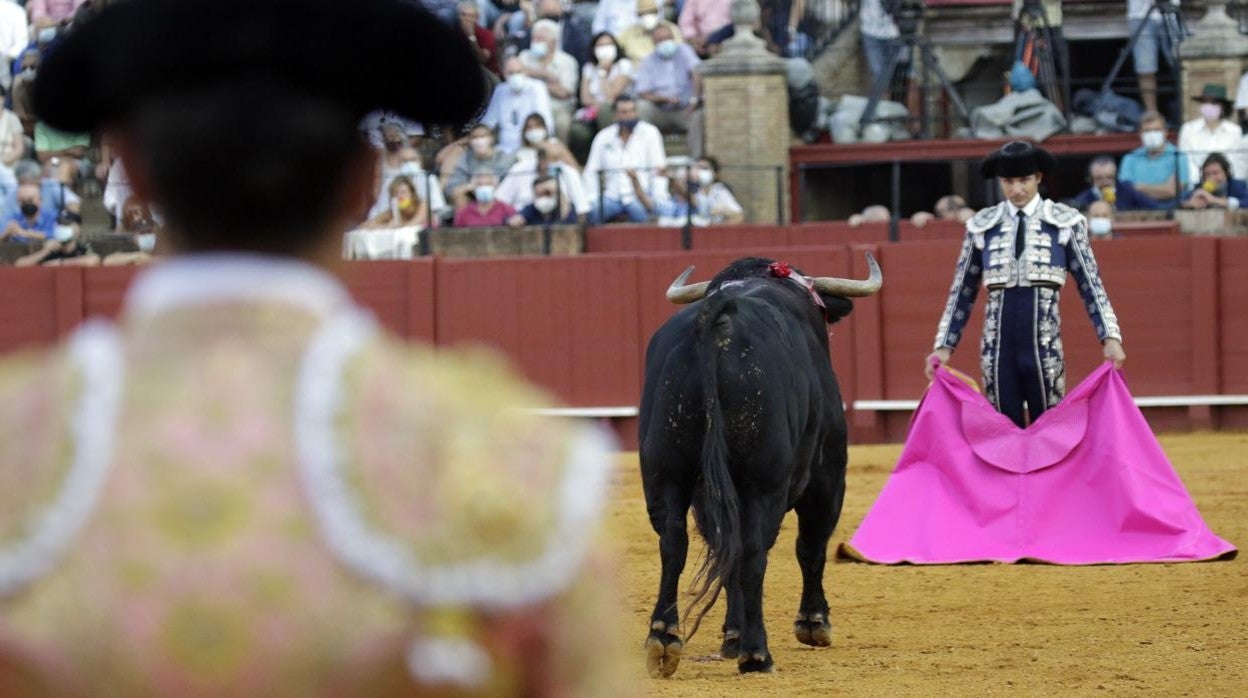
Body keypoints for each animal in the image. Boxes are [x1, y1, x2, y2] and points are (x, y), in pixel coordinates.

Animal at [643, 255, 878, 679]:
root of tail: (716, 320)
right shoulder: (828, 478)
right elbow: (810, 547)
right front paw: (814, 623)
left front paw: (731, 636)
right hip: (762, 483)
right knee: (754, 552)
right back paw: (756, 654)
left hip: (664, 471)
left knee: (674, 542)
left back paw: (663, 640)